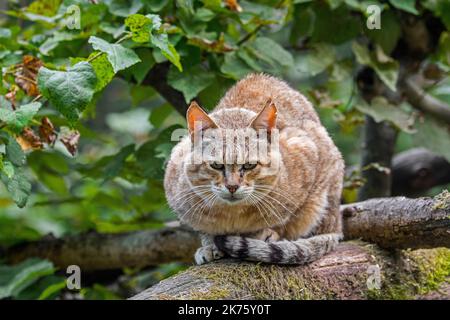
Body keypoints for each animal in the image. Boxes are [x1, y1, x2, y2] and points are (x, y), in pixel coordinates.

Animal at [165, 73, 344, 264]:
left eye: (249, 165)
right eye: (216, 165)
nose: (232, 187)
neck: (233, 215)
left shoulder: (306, 152)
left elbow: (287, 219)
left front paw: (265, 235)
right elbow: (204, 230)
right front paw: (209, 245)